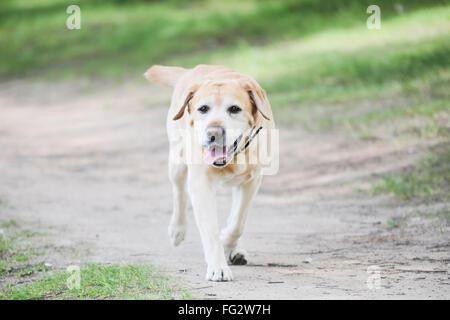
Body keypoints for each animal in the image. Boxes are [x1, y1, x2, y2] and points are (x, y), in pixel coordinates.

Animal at [146, 64, 276, 280]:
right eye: (203, 109)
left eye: (234, 109)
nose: (213, 133)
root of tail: (192, 70)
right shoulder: (201, 185)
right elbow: (210, 231)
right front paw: (218, 266)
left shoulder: (251, 181)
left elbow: (238, 222)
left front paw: (228, 243)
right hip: (177, 161)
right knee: (179, 192)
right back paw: (177, 229)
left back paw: (236, 250)